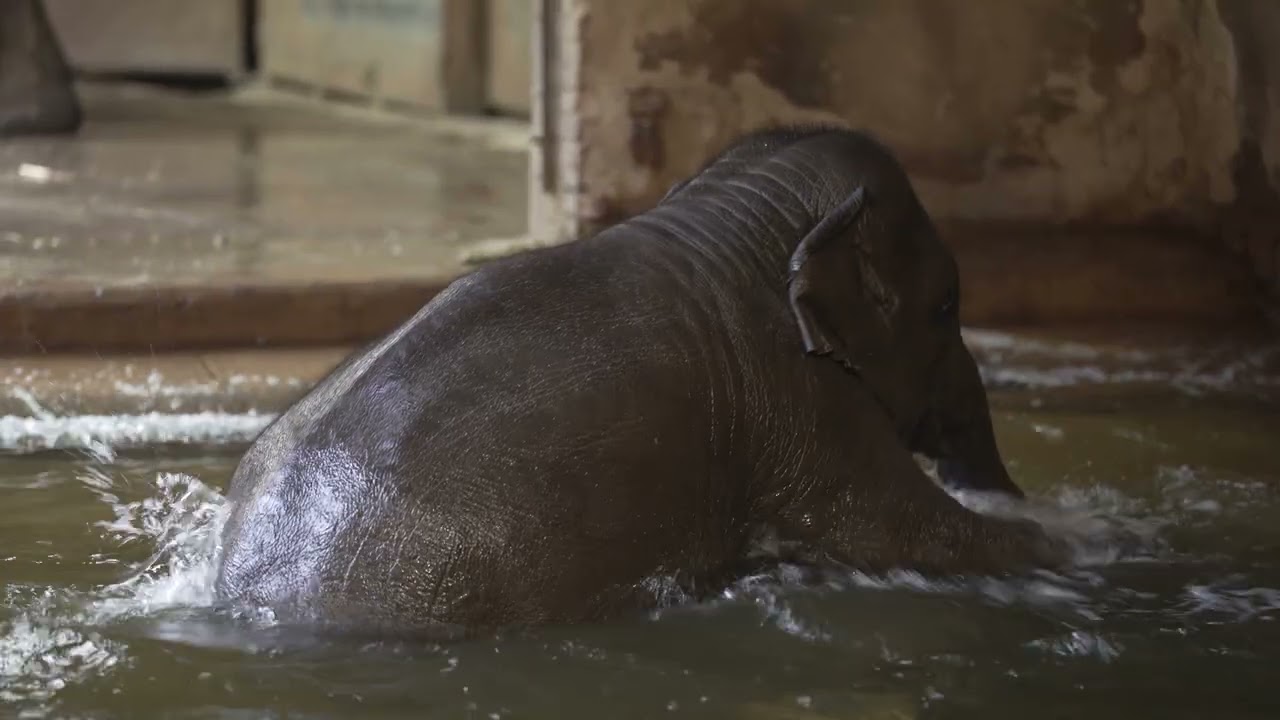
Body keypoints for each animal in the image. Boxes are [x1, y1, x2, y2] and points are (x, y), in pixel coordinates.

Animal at [214, 125, 1068, 637]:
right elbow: (902, 532)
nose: (1012, 492)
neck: (739, 225)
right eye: (947, 306)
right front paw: (1067, 547)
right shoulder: (803, 402)